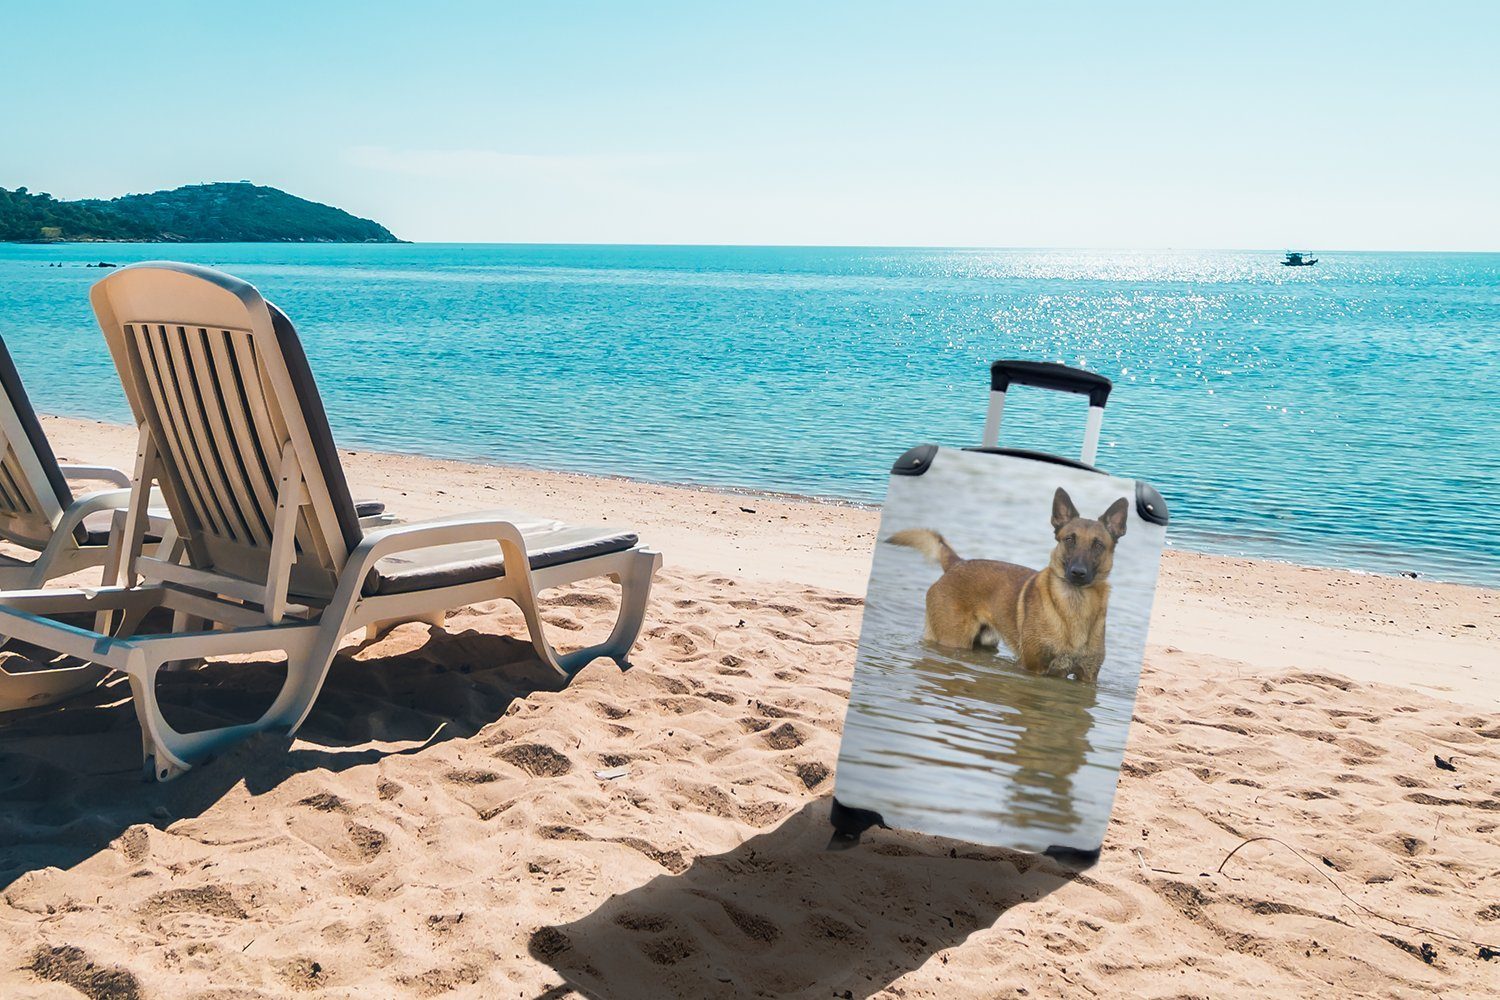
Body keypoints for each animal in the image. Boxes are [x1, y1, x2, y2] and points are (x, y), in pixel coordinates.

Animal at [888, 488, 1128, 683]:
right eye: (1070, 539)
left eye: (1098, 545)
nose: (1078, 572)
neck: (1075, 604)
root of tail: (957, 563)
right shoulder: (1032, 668)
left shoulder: (1088, 676)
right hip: (952, 641)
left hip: (984, 641)